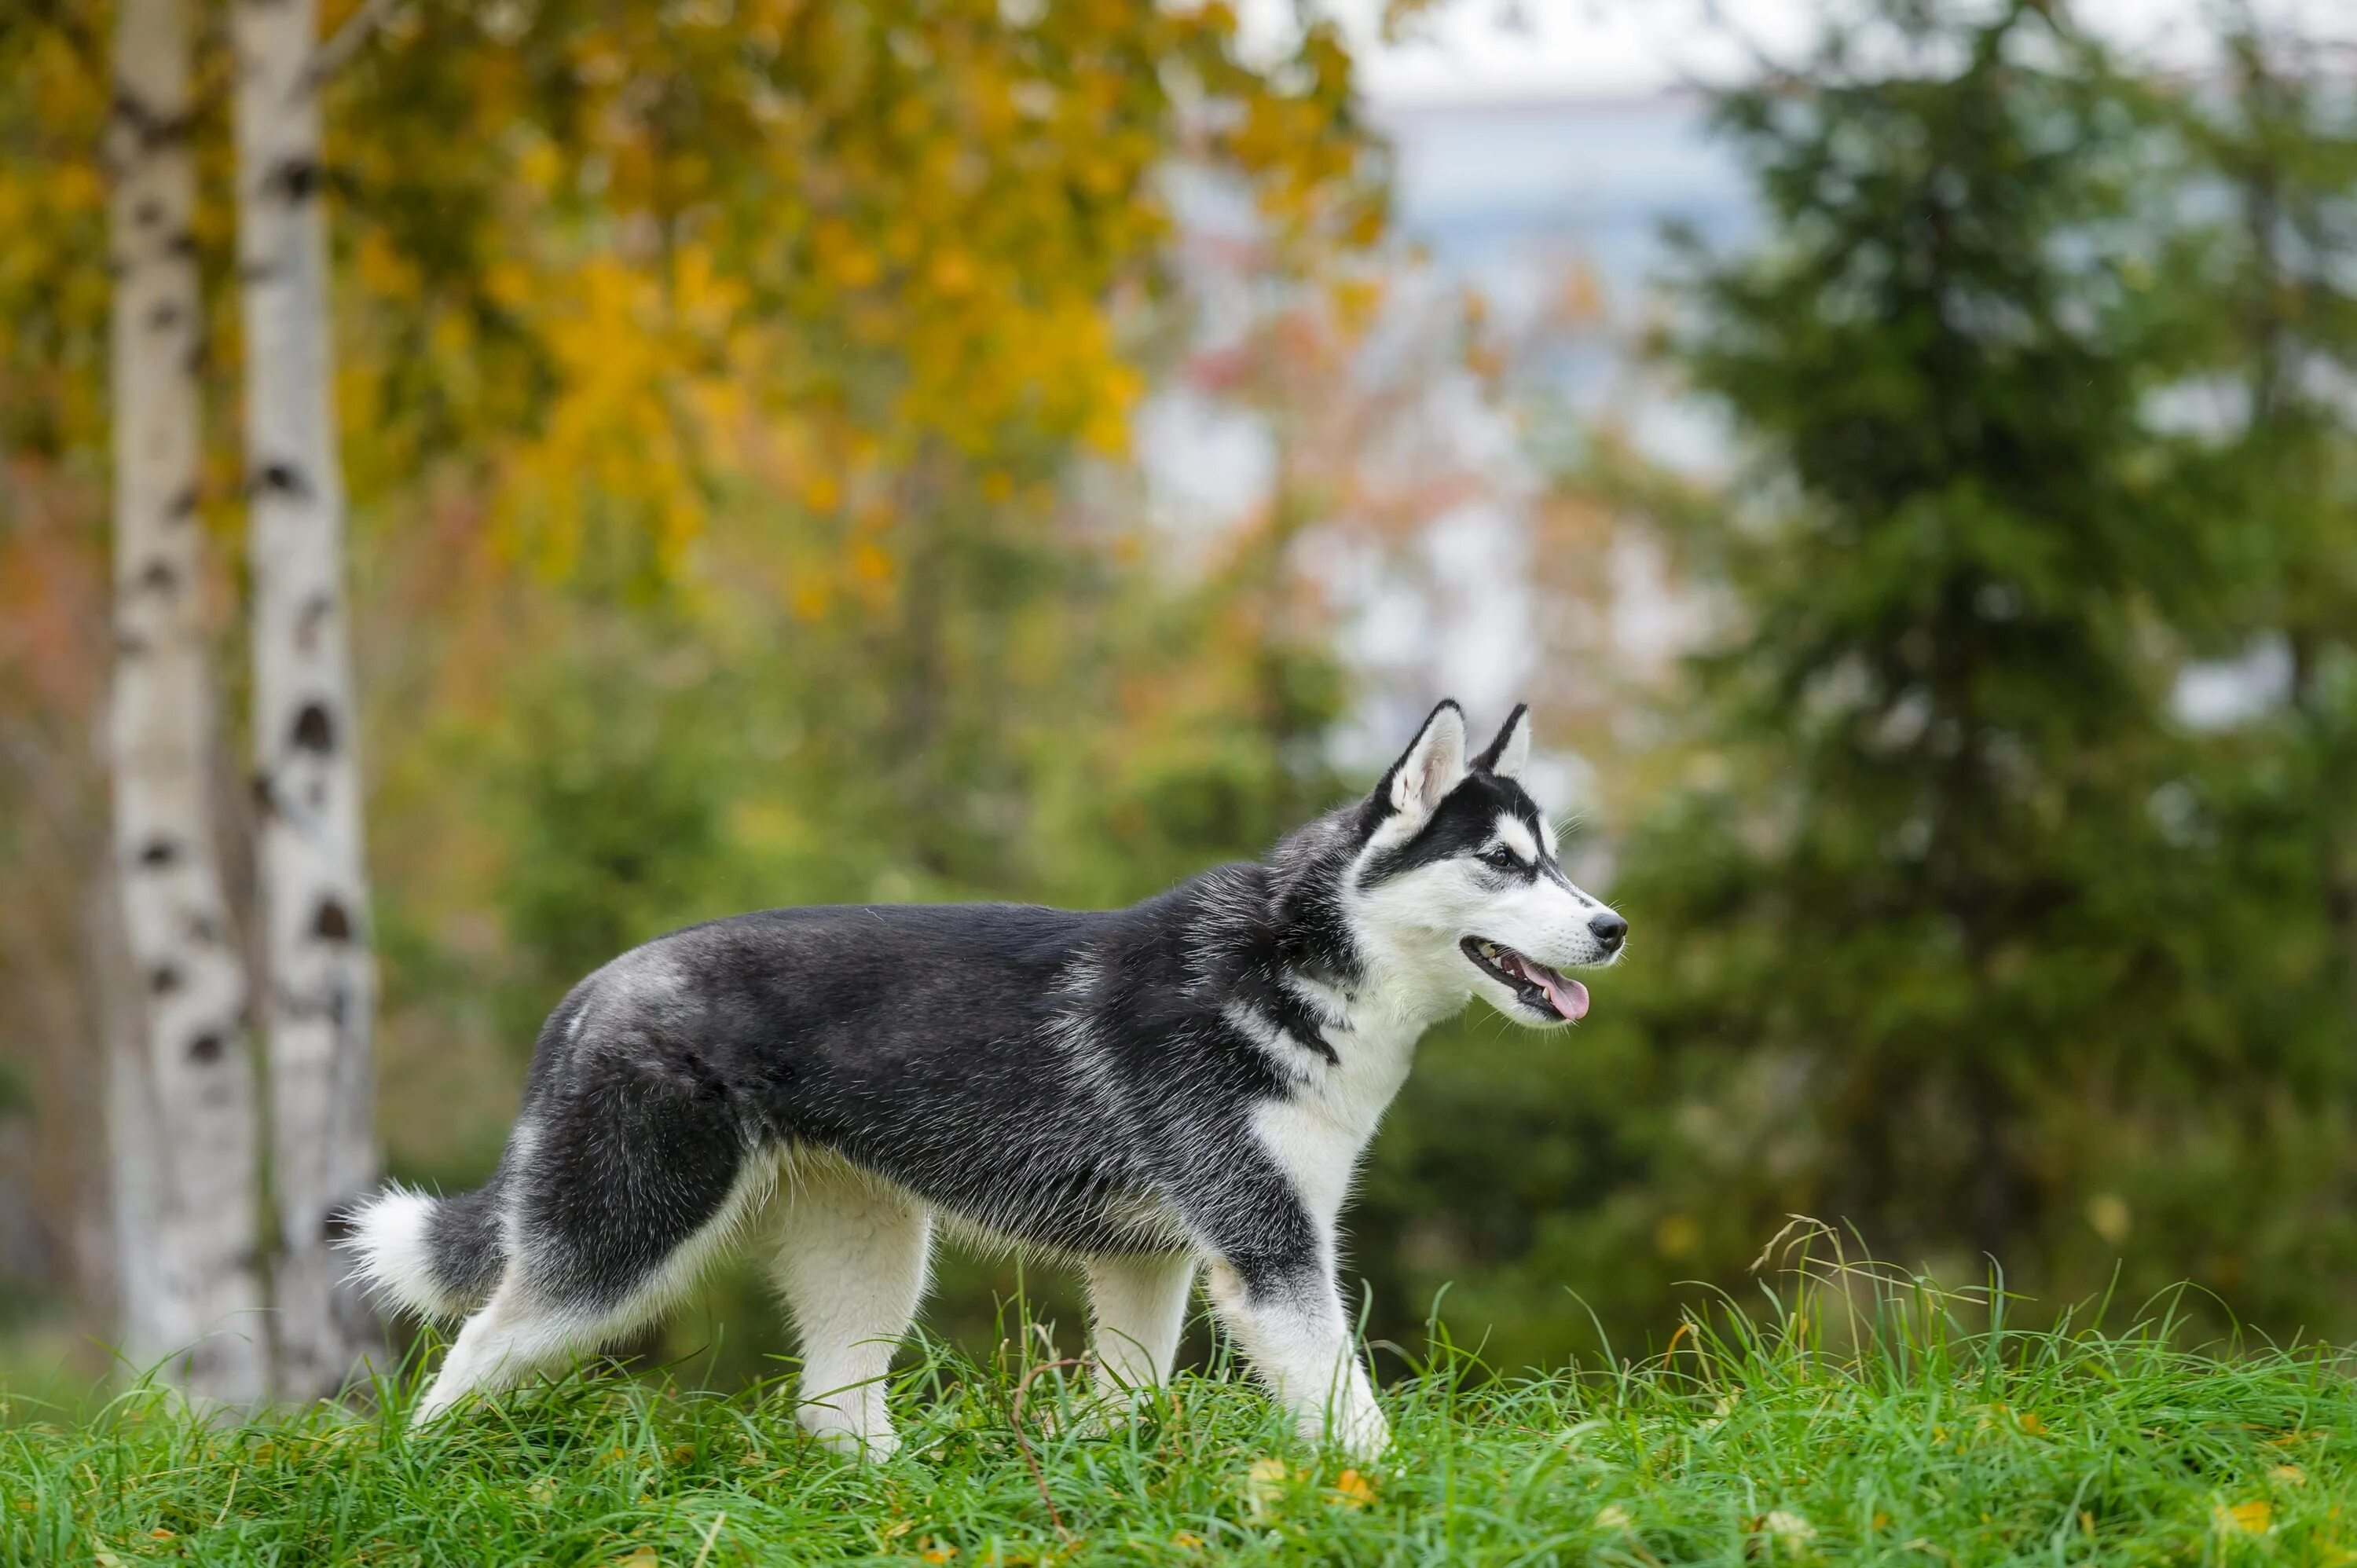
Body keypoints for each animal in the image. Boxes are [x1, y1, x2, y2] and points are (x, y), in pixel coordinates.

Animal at [344, 698, 1622, 1452]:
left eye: (1554, 860)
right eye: (1501, 863)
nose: (1611, 928)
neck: (1295, 965)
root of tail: (592, 987)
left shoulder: (1153, 1260)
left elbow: (1131, 1395)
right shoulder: (1270, 1253)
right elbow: (1352, 1418)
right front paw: (1383, 1500)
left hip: (873, 1257)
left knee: (832, 1410)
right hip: (619, 1248)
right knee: (470, 1356)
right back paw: (427, 1477)